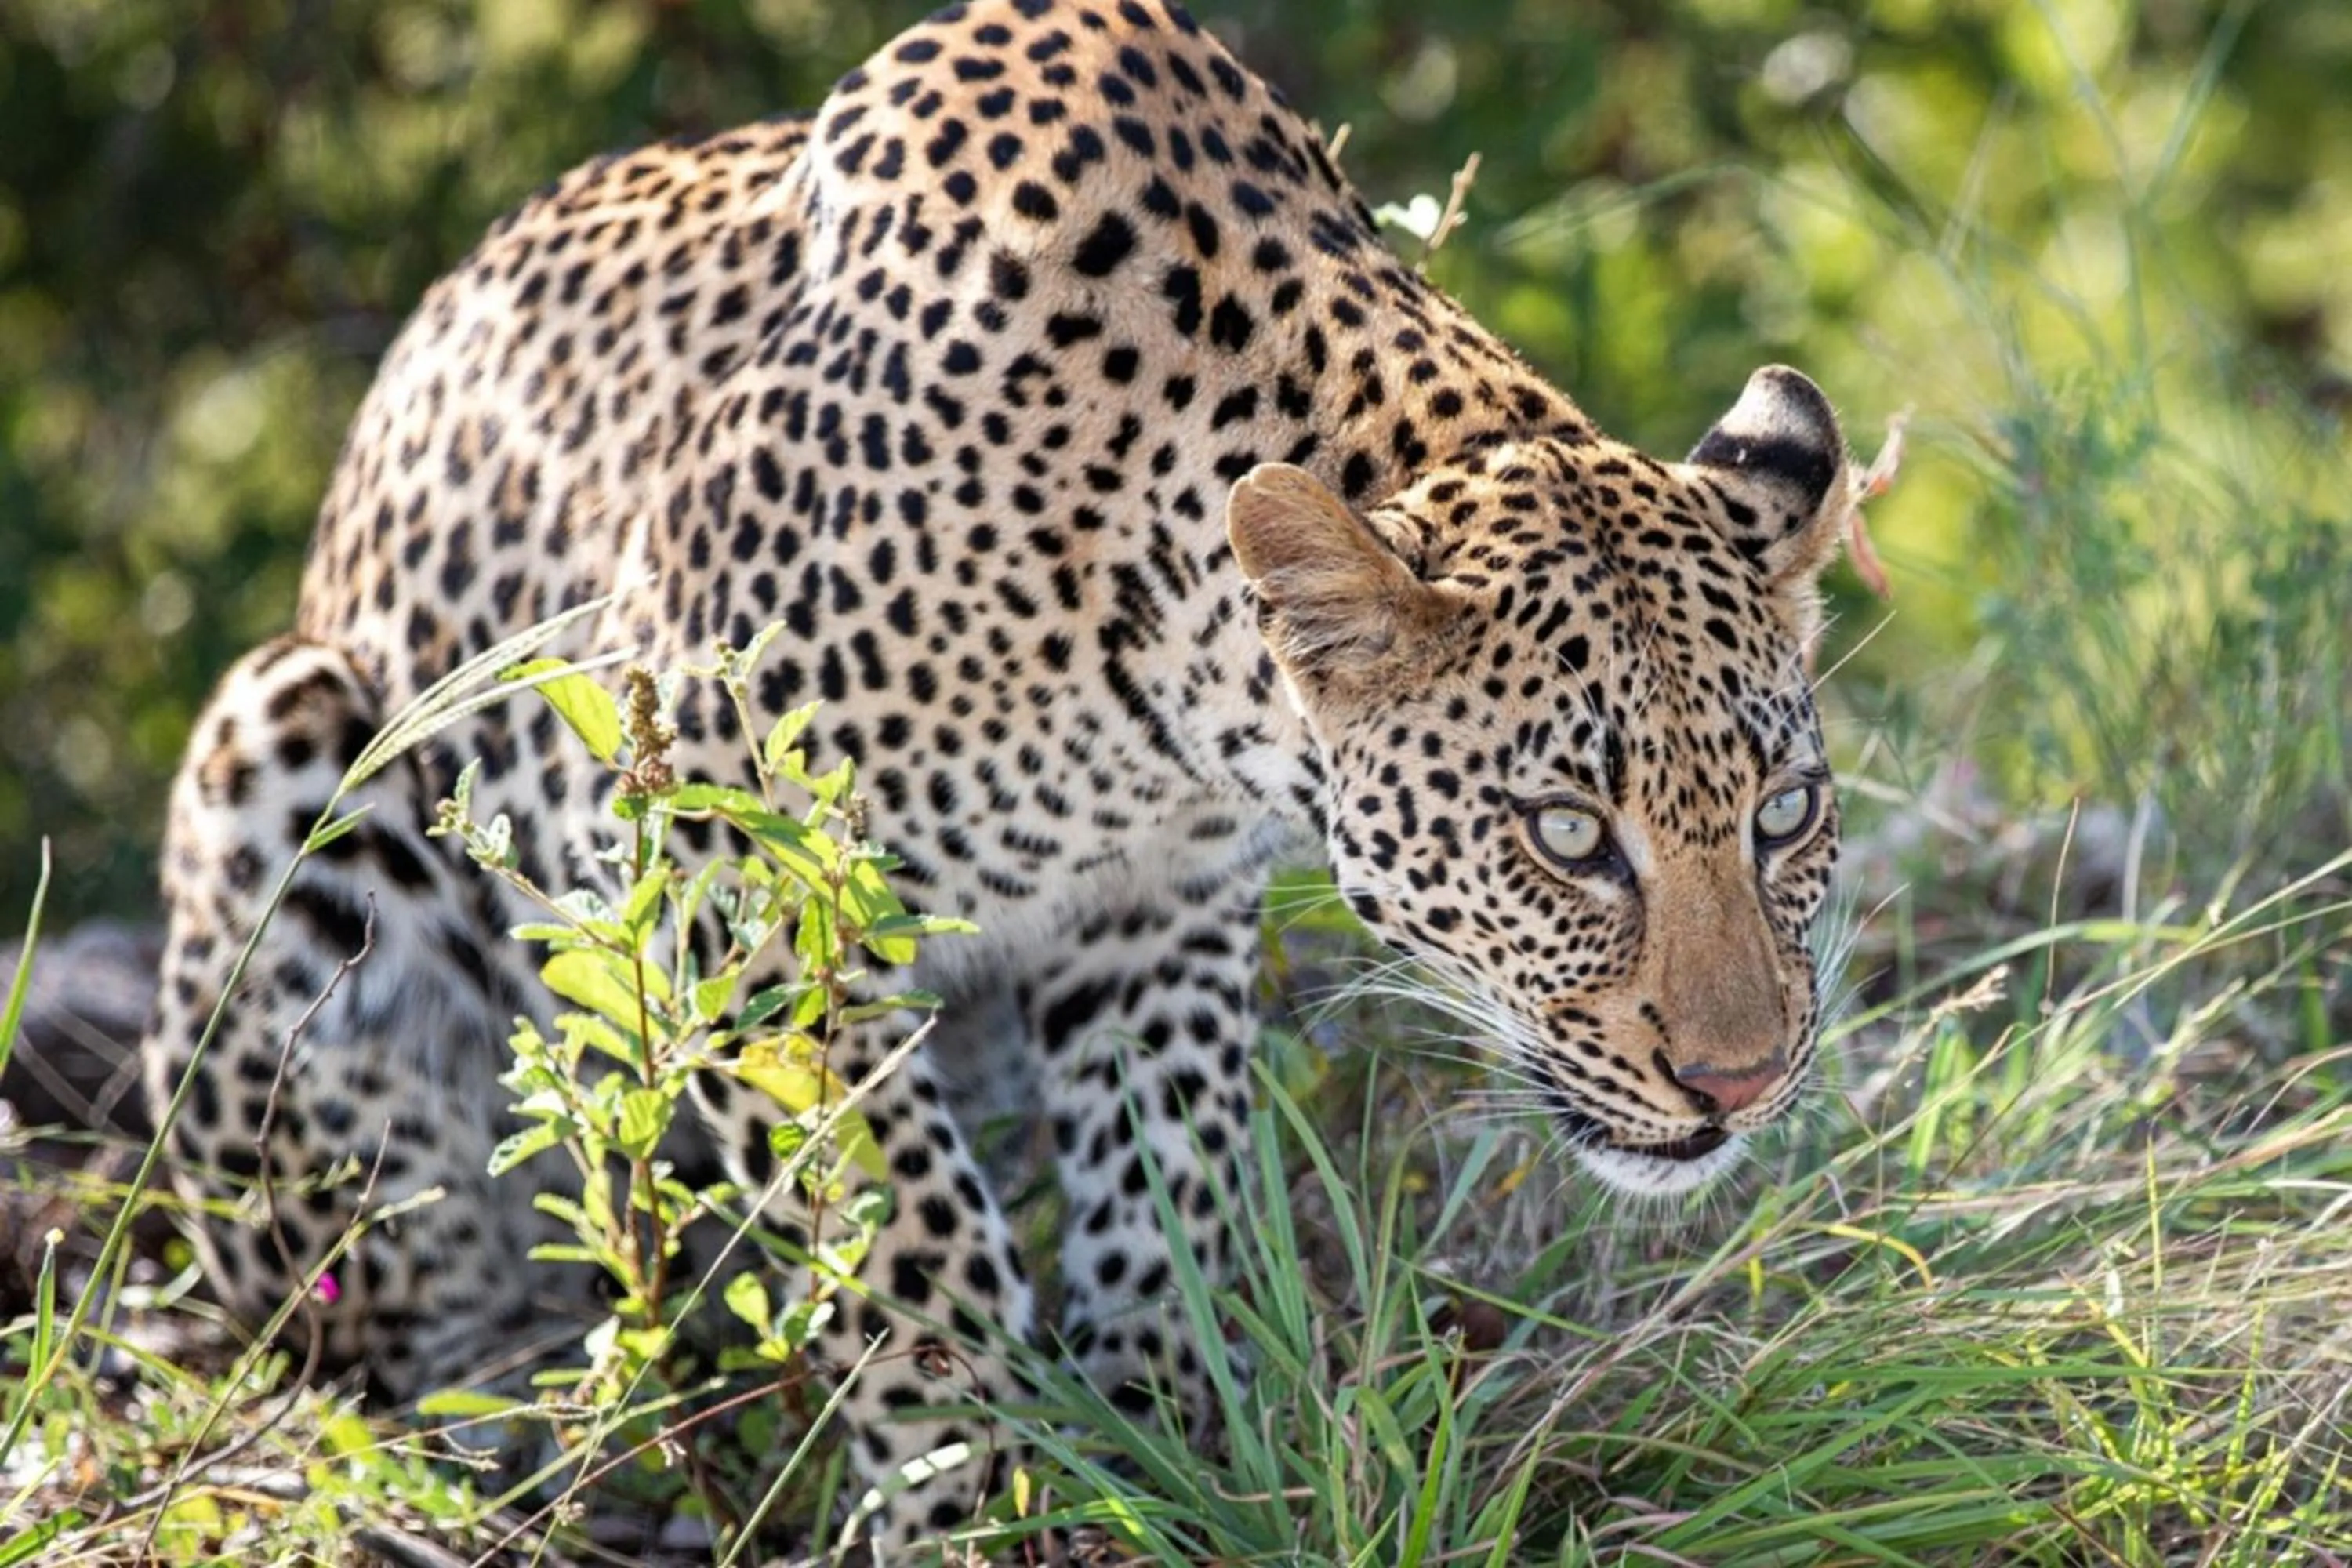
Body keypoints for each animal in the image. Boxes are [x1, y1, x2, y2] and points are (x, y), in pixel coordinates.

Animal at [139, 0, 1874, 1552]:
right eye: (1568, 835)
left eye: (1784, 814)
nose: (1740, 1085)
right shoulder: (742, 891)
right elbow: (908, 1250)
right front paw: (973, 1498)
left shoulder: (1153, 905)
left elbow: (1161, 1173)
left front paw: (1171, 1442)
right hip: (284, 756)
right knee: (374, 1300)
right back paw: (532, 1431)